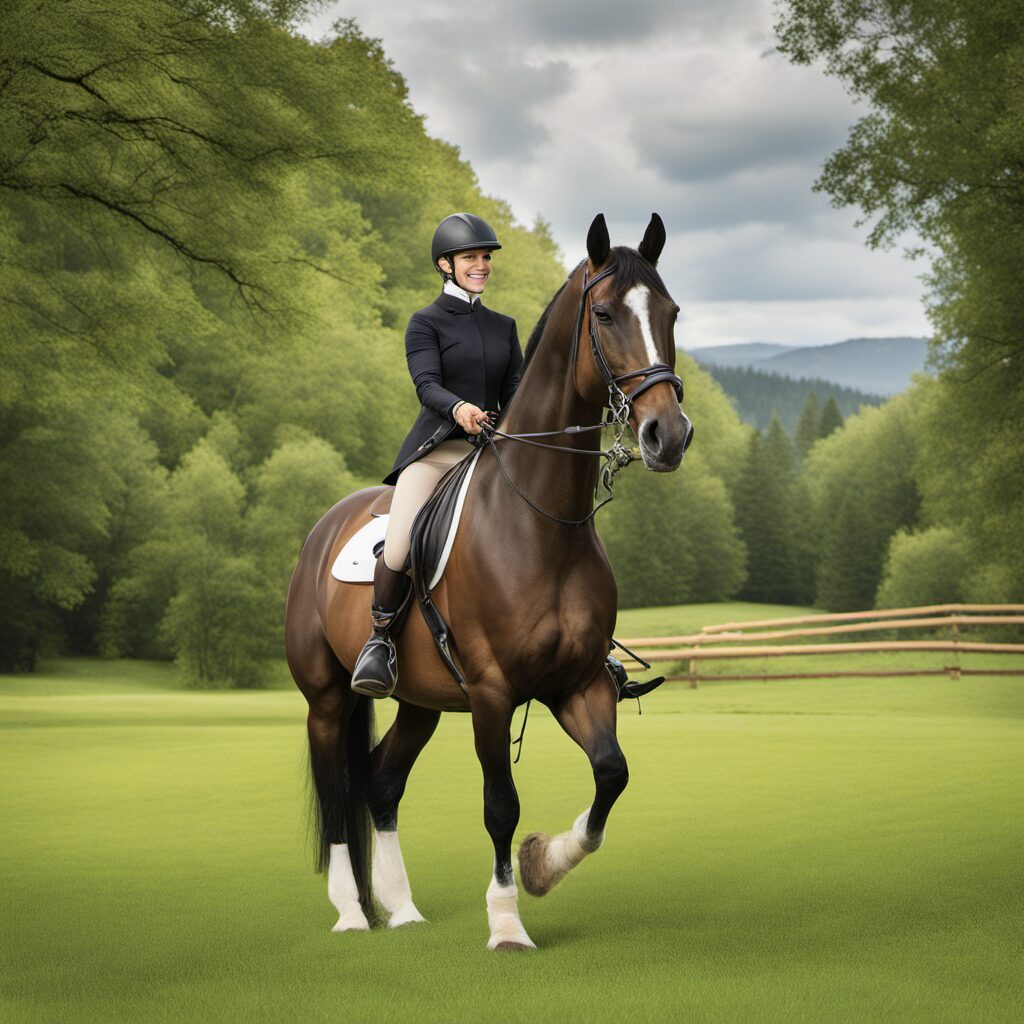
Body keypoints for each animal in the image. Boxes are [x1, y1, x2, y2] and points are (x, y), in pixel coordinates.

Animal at [285, 213, 693, 950]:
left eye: (671, 313)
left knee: (380, 785)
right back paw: (353, 912)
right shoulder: (493, 691)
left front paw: (541, 865)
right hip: (326, 698)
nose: (667, 435)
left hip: (418, 700)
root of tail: (323, 527)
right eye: (606, 314)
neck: (541, 521)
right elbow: (500, 804)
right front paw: (506, 923)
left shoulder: (578, 683)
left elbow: (611, 776)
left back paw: (402, 908)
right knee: (336, 793)